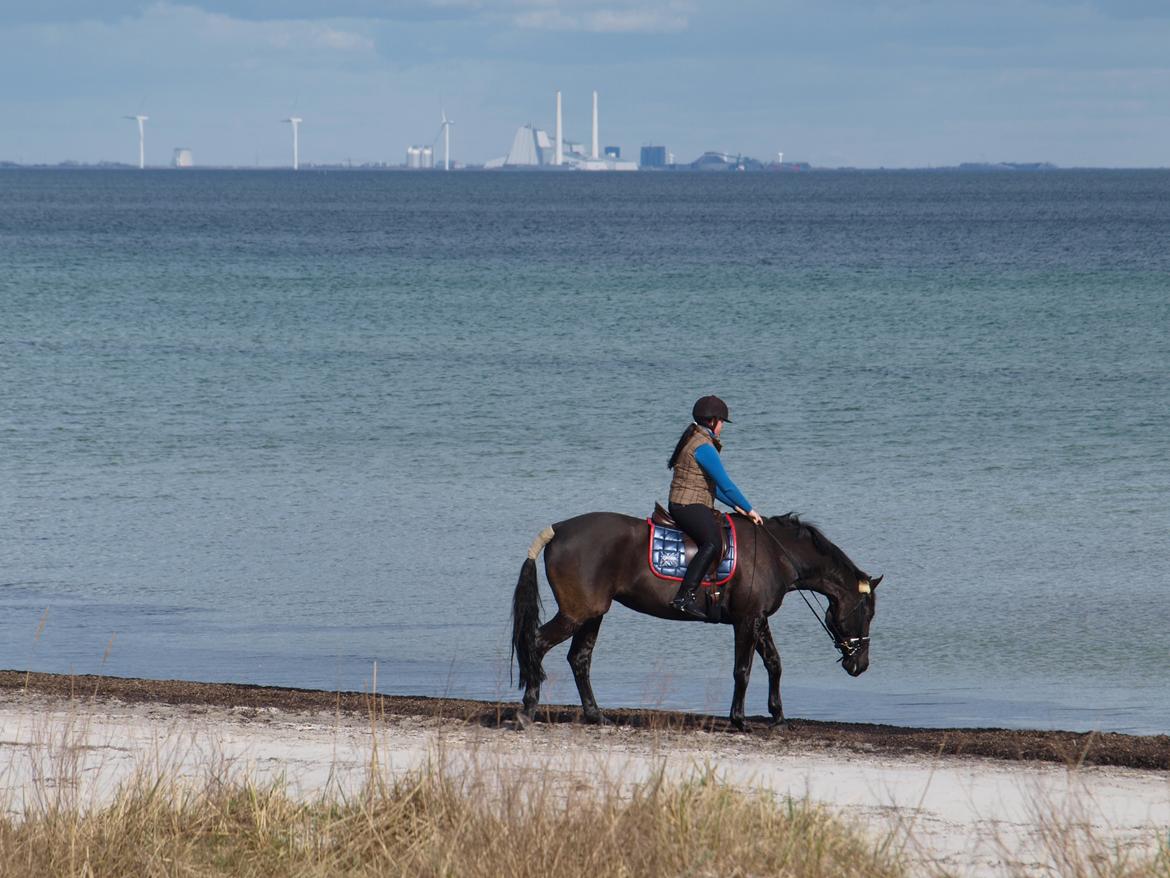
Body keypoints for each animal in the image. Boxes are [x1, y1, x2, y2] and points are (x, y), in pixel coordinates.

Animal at [507, 512, 879, 730]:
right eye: (867, 612)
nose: (860, 665)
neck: (776, 554)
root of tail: (557, 530)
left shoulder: (758, 620)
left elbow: (774, 664)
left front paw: (778, 716)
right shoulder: (746, 621)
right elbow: (743, 671)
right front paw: (739, 720)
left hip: (592, 613)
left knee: (579, 659)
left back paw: (595, 715)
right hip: (576, 613)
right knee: (536, 645)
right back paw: (528, 710)